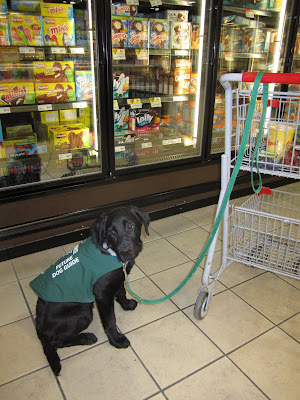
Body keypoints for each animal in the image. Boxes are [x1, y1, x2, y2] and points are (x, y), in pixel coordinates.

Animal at [30, 206, 150, 376]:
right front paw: (116, 340)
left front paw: (126, 304)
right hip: (84, 312)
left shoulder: (118, 276)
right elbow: (110, 320)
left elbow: (121, 291)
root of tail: (38, 325)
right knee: (56, 341)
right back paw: (86, 338)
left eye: (130, 226)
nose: (125, 251)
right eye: (111, 232)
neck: (111, 252)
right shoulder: (102, 293)